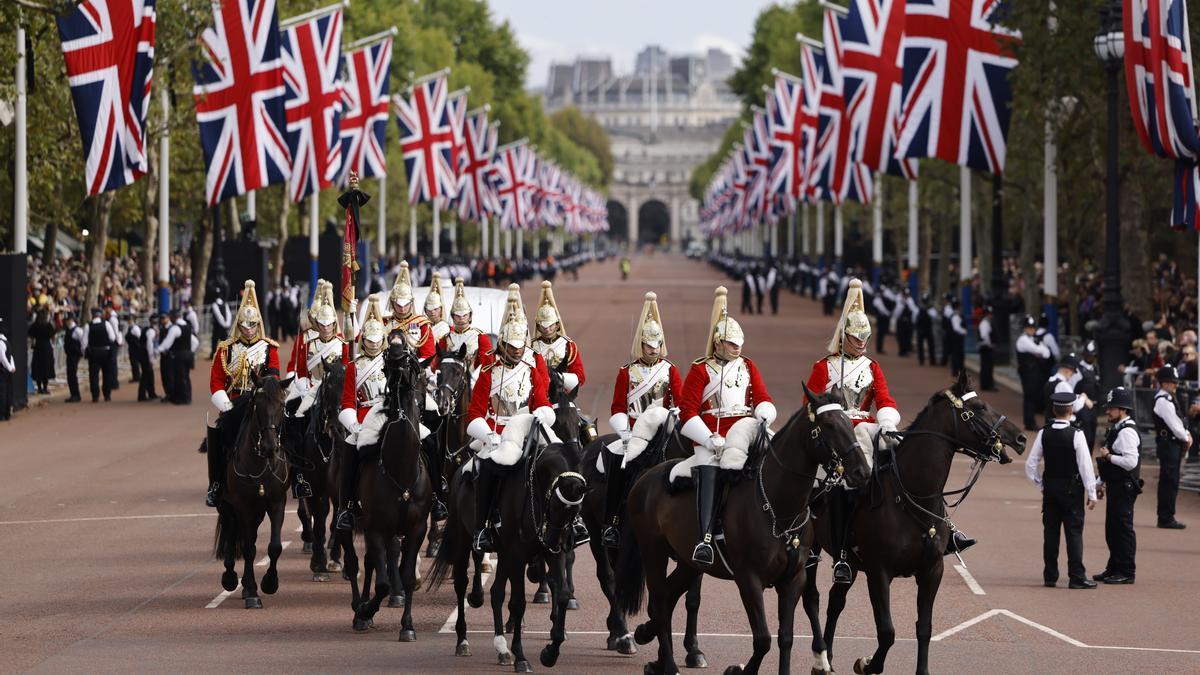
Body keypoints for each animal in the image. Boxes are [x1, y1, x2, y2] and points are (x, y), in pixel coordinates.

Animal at [213, 374, 292, 607]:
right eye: (258, 405)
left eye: (282, 404)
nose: (270, 447)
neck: (261, 463)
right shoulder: (243, 506)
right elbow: (248, 549)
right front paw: (251, 592)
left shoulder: (277, 503)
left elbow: (274, 547)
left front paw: (269, 583)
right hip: (226, 505)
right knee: (231, 531)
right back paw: (231, 578)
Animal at [343, 338, 436, 638]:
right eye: (388, 363)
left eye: (410, 362)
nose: (400, 382)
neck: (400, 472)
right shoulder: (375, 528)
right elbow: (383, 583)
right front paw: (365, 610)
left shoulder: (417, 529)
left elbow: (404, 575)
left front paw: (407, 626)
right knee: (354, 560)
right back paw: (359, 610)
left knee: (372, 561)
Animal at [429, 413, 588, 667]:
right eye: (554, 504)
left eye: (575, 510)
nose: (553, 542)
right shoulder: (517, 552)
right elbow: (518, 602)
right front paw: (521, 657)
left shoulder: (549, 553)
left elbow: (562, 594)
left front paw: (550, 652)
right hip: (464, 540)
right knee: (462, 583)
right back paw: (463, 640)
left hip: (504, 553)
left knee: (496, 592)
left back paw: (501, 647)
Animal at [614, 384, 868, 672]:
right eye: (829, 425)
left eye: (849, 421)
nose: (862, 471)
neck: (778, 507)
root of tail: (645, 477)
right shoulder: (748, 578)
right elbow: (763, 639)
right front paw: (739, 669)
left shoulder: (793, 579)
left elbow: (785, 638)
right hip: (653, 552)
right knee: (658, 600)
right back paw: (668, 664)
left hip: (689, 563)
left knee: (667, 599)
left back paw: (652, 645)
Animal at [801, 367, 1027, 672]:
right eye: (979, 407)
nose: (1020, 439)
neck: (912, 496)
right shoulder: (879, 572)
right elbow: (887, 632)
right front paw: (868, 663)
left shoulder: (931, 571)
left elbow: (924, 628)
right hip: (812, 551)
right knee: (812, 598)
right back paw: (821, 657)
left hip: (848, 562)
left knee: (836, 601)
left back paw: (828, 658)